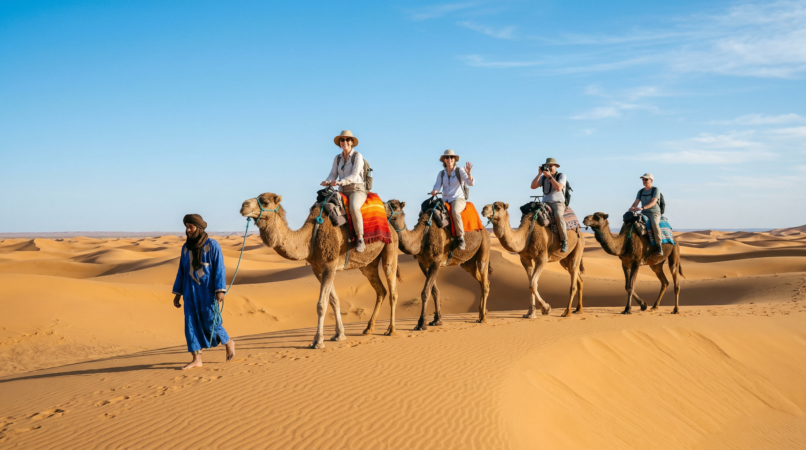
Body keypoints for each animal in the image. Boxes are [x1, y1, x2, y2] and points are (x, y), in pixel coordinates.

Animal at [240, 192, 401, 349]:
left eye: (265, 202)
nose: (243, 205)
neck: (309, 237)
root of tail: (392, 228)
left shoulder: (329, 265)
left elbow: (321, 304)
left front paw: (318, 341)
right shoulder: (317, 269)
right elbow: (334, 300)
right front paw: (339, 335)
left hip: (390, 249)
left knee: (392, 290)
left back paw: (391, 330)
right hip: (368, 265)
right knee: (381, 290)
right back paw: (369, 328)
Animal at [385, 199, 491, 329]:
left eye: (394, 206)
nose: (382, 206)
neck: (422, 236)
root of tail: (484, 229)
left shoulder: (436, 260)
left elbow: (425, 292)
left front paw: (421, 323)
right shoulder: (423, 264)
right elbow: (434, 291)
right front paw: (437, 320)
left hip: (484, 246)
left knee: (484, 281)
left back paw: (483, 318)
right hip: (468, 263)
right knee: (481, 281)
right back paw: (481, 314)